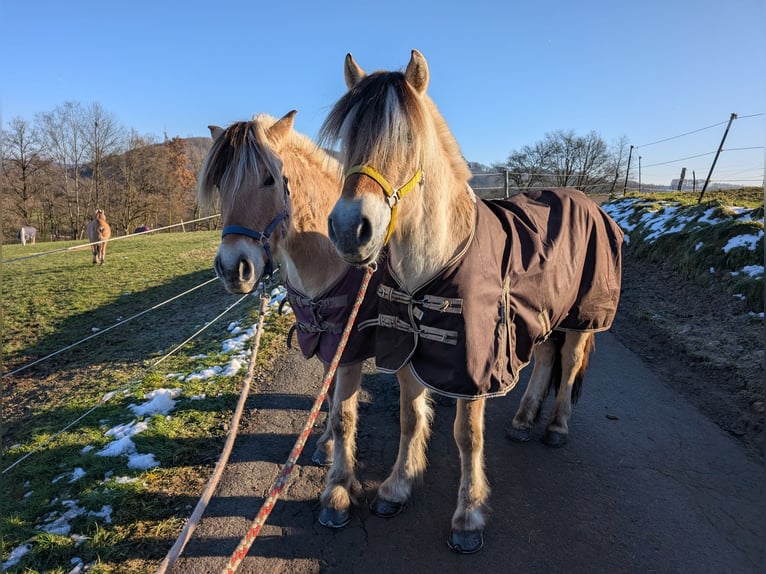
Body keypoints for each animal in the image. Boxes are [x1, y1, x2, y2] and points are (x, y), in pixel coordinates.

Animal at [198, 110, 388, 528]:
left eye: (270, 178)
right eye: (220, 184)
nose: (232, 269)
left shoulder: (349, 346)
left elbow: (344, 414)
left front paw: (337, 491)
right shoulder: (324, 340)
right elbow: (328, 396)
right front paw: (325, 446)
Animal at [320, 51, 624, 556]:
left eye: (407, 139)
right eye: (348, 138)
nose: (349, 230)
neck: (437, 261)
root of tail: (586, 198)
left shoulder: (475, 368)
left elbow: (467, 436)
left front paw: (467, 518)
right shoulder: (412, 352)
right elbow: (409, 418)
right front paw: (396, 489)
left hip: (581, 320)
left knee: (568, 365)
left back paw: (555, 427)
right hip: (543, 317)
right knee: (546, 359)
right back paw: (522, 420)